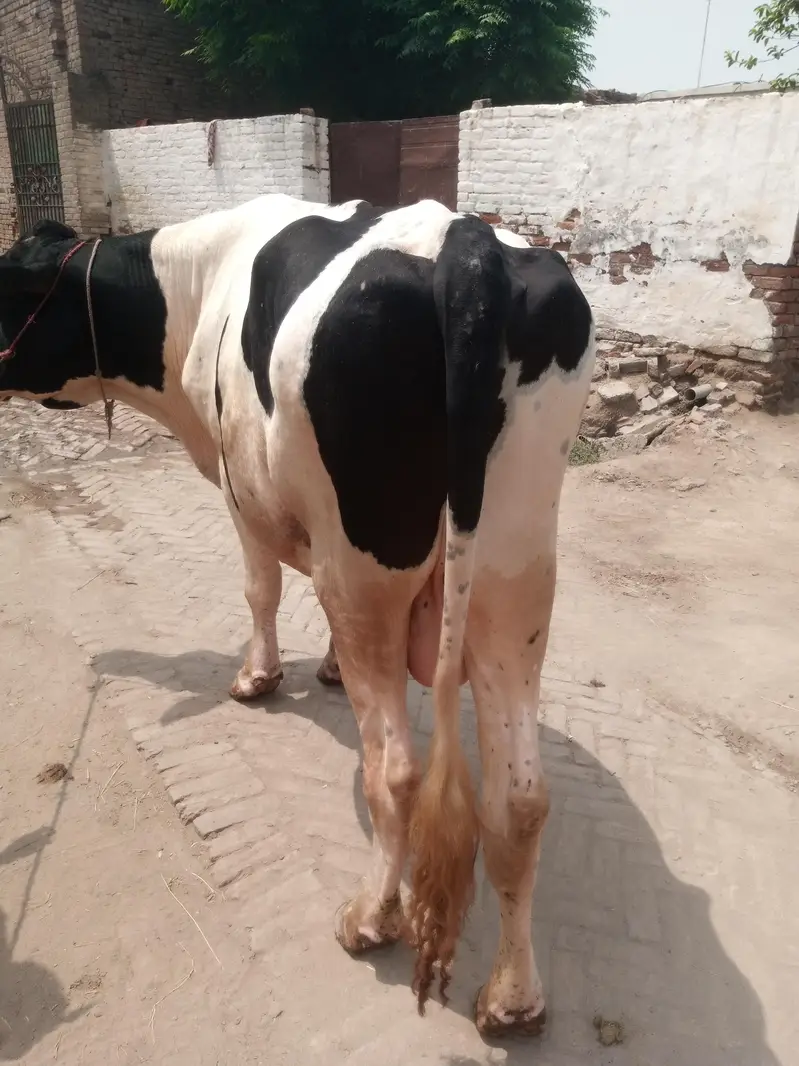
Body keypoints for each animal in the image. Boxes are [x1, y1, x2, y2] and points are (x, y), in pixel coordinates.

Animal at [0, 195, 594, 1036]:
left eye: (0, 291)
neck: (195, 283)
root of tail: (466, 244)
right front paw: (330, 670)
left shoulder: (238, 490)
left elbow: (259, 590)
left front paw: (258, 678)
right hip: (514, 569)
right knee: (518, 799)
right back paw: (512, 999)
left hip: (366, 567)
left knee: (396, 770)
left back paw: (369, 919)